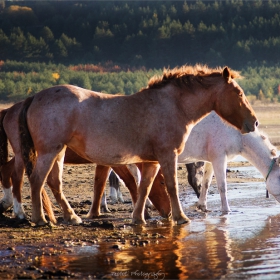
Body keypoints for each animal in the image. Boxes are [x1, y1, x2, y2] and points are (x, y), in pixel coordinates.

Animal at [18, 64, 258, 224]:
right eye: (238, 93)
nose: (254, 122)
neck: (172, 106)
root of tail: (34, 97)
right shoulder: (168, 155)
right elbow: (171, 186)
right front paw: (180, 217)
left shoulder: (152, 161)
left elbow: (144, 187)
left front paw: (139, 219)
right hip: (49, 152)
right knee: (37, 180)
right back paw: (40, 219)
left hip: (58, 152)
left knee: (54, 183)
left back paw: (72, 216)